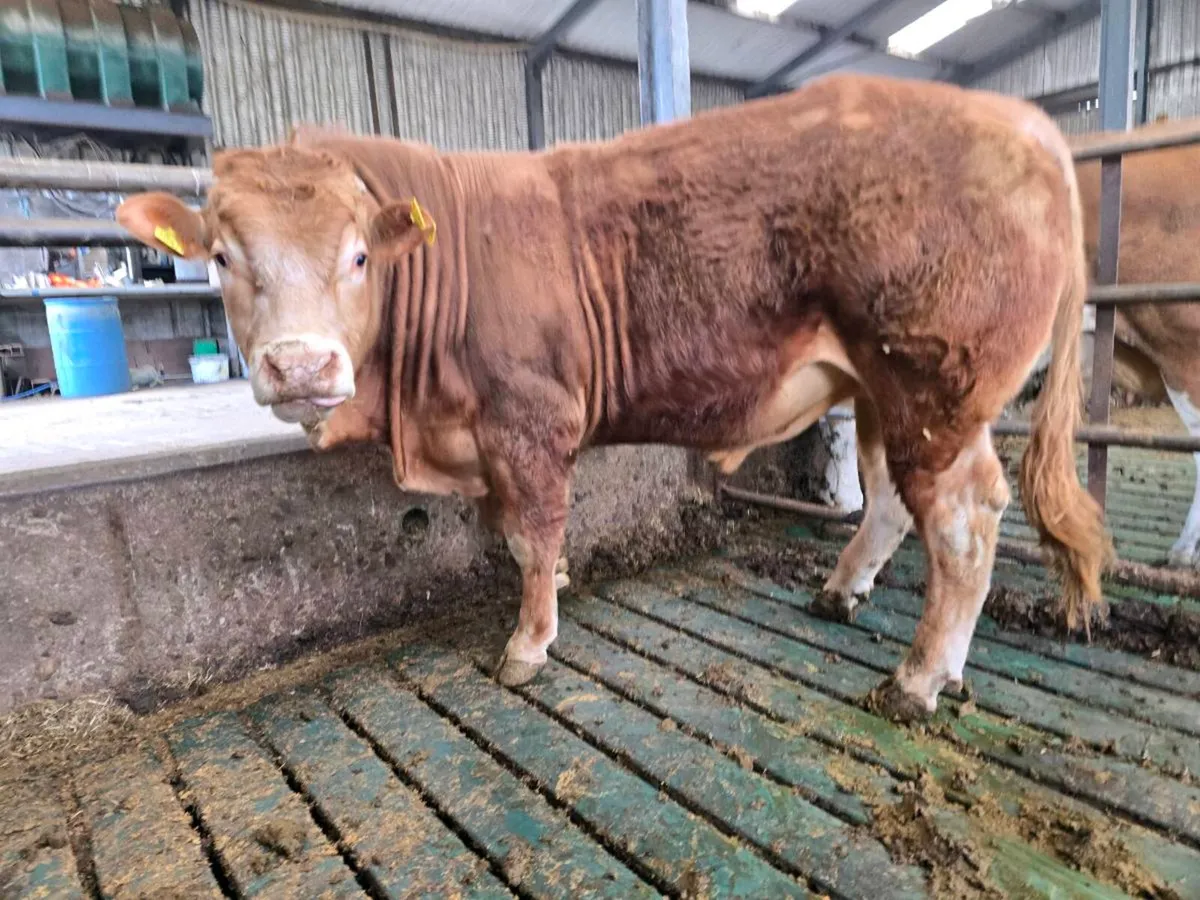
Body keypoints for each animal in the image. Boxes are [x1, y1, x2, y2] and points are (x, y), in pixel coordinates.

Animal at [116, 73, 1109, 721]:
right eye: (220, 257)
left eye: (360, 255)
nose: (301, 367)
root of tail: (1017, 118)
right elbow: (515, 532)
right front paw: (551, 590)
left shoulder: (529, 419)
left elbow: (530, 530)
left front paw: (528, 642)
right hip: (879, 388)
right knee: (897, 505)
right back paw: (841, 595)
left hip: (934, 387)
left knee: (966, 520)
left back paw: (917, 680)